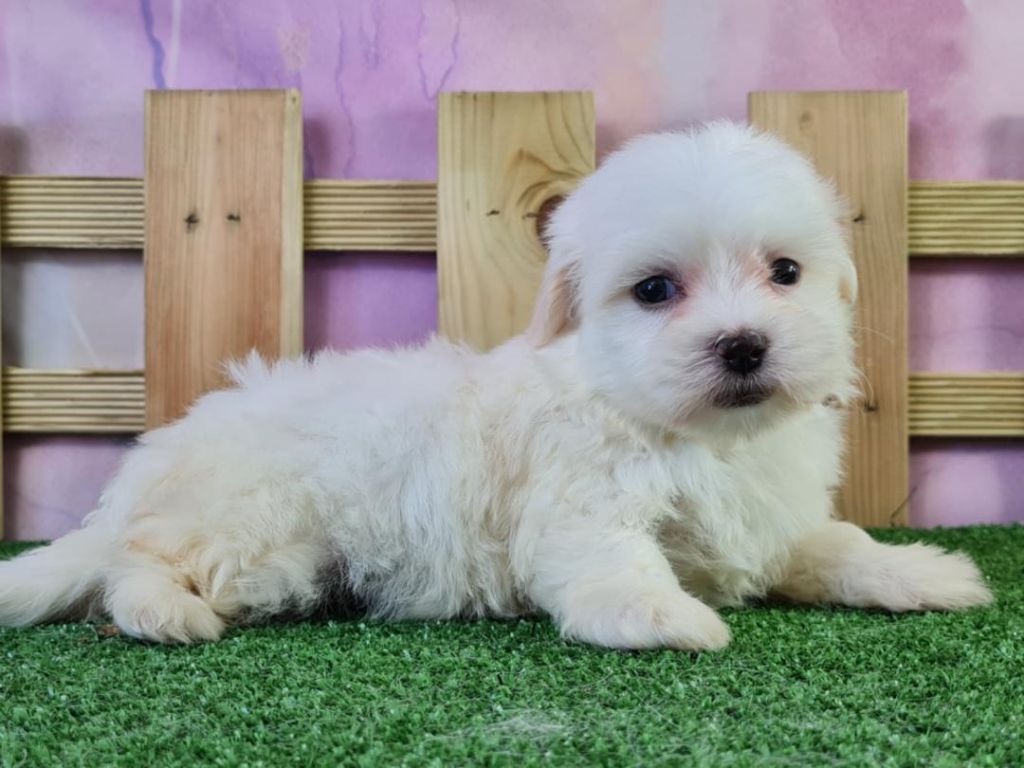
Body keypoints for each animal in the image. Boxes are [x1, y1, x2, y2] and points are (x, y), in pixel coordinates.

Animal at [0, 122, 992, 649]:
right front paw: (668, 615)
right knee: (137, 565)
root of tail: (139, 480)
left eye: (785, 272)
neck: (688, 432)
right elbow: (612, 562)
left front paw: (922, 572)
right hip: (252, 530)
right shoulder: (583, 506)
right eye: (656, 291)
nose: (744, 345)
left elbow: (834, 543)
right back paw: (167, 610)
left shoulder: (770, 519)